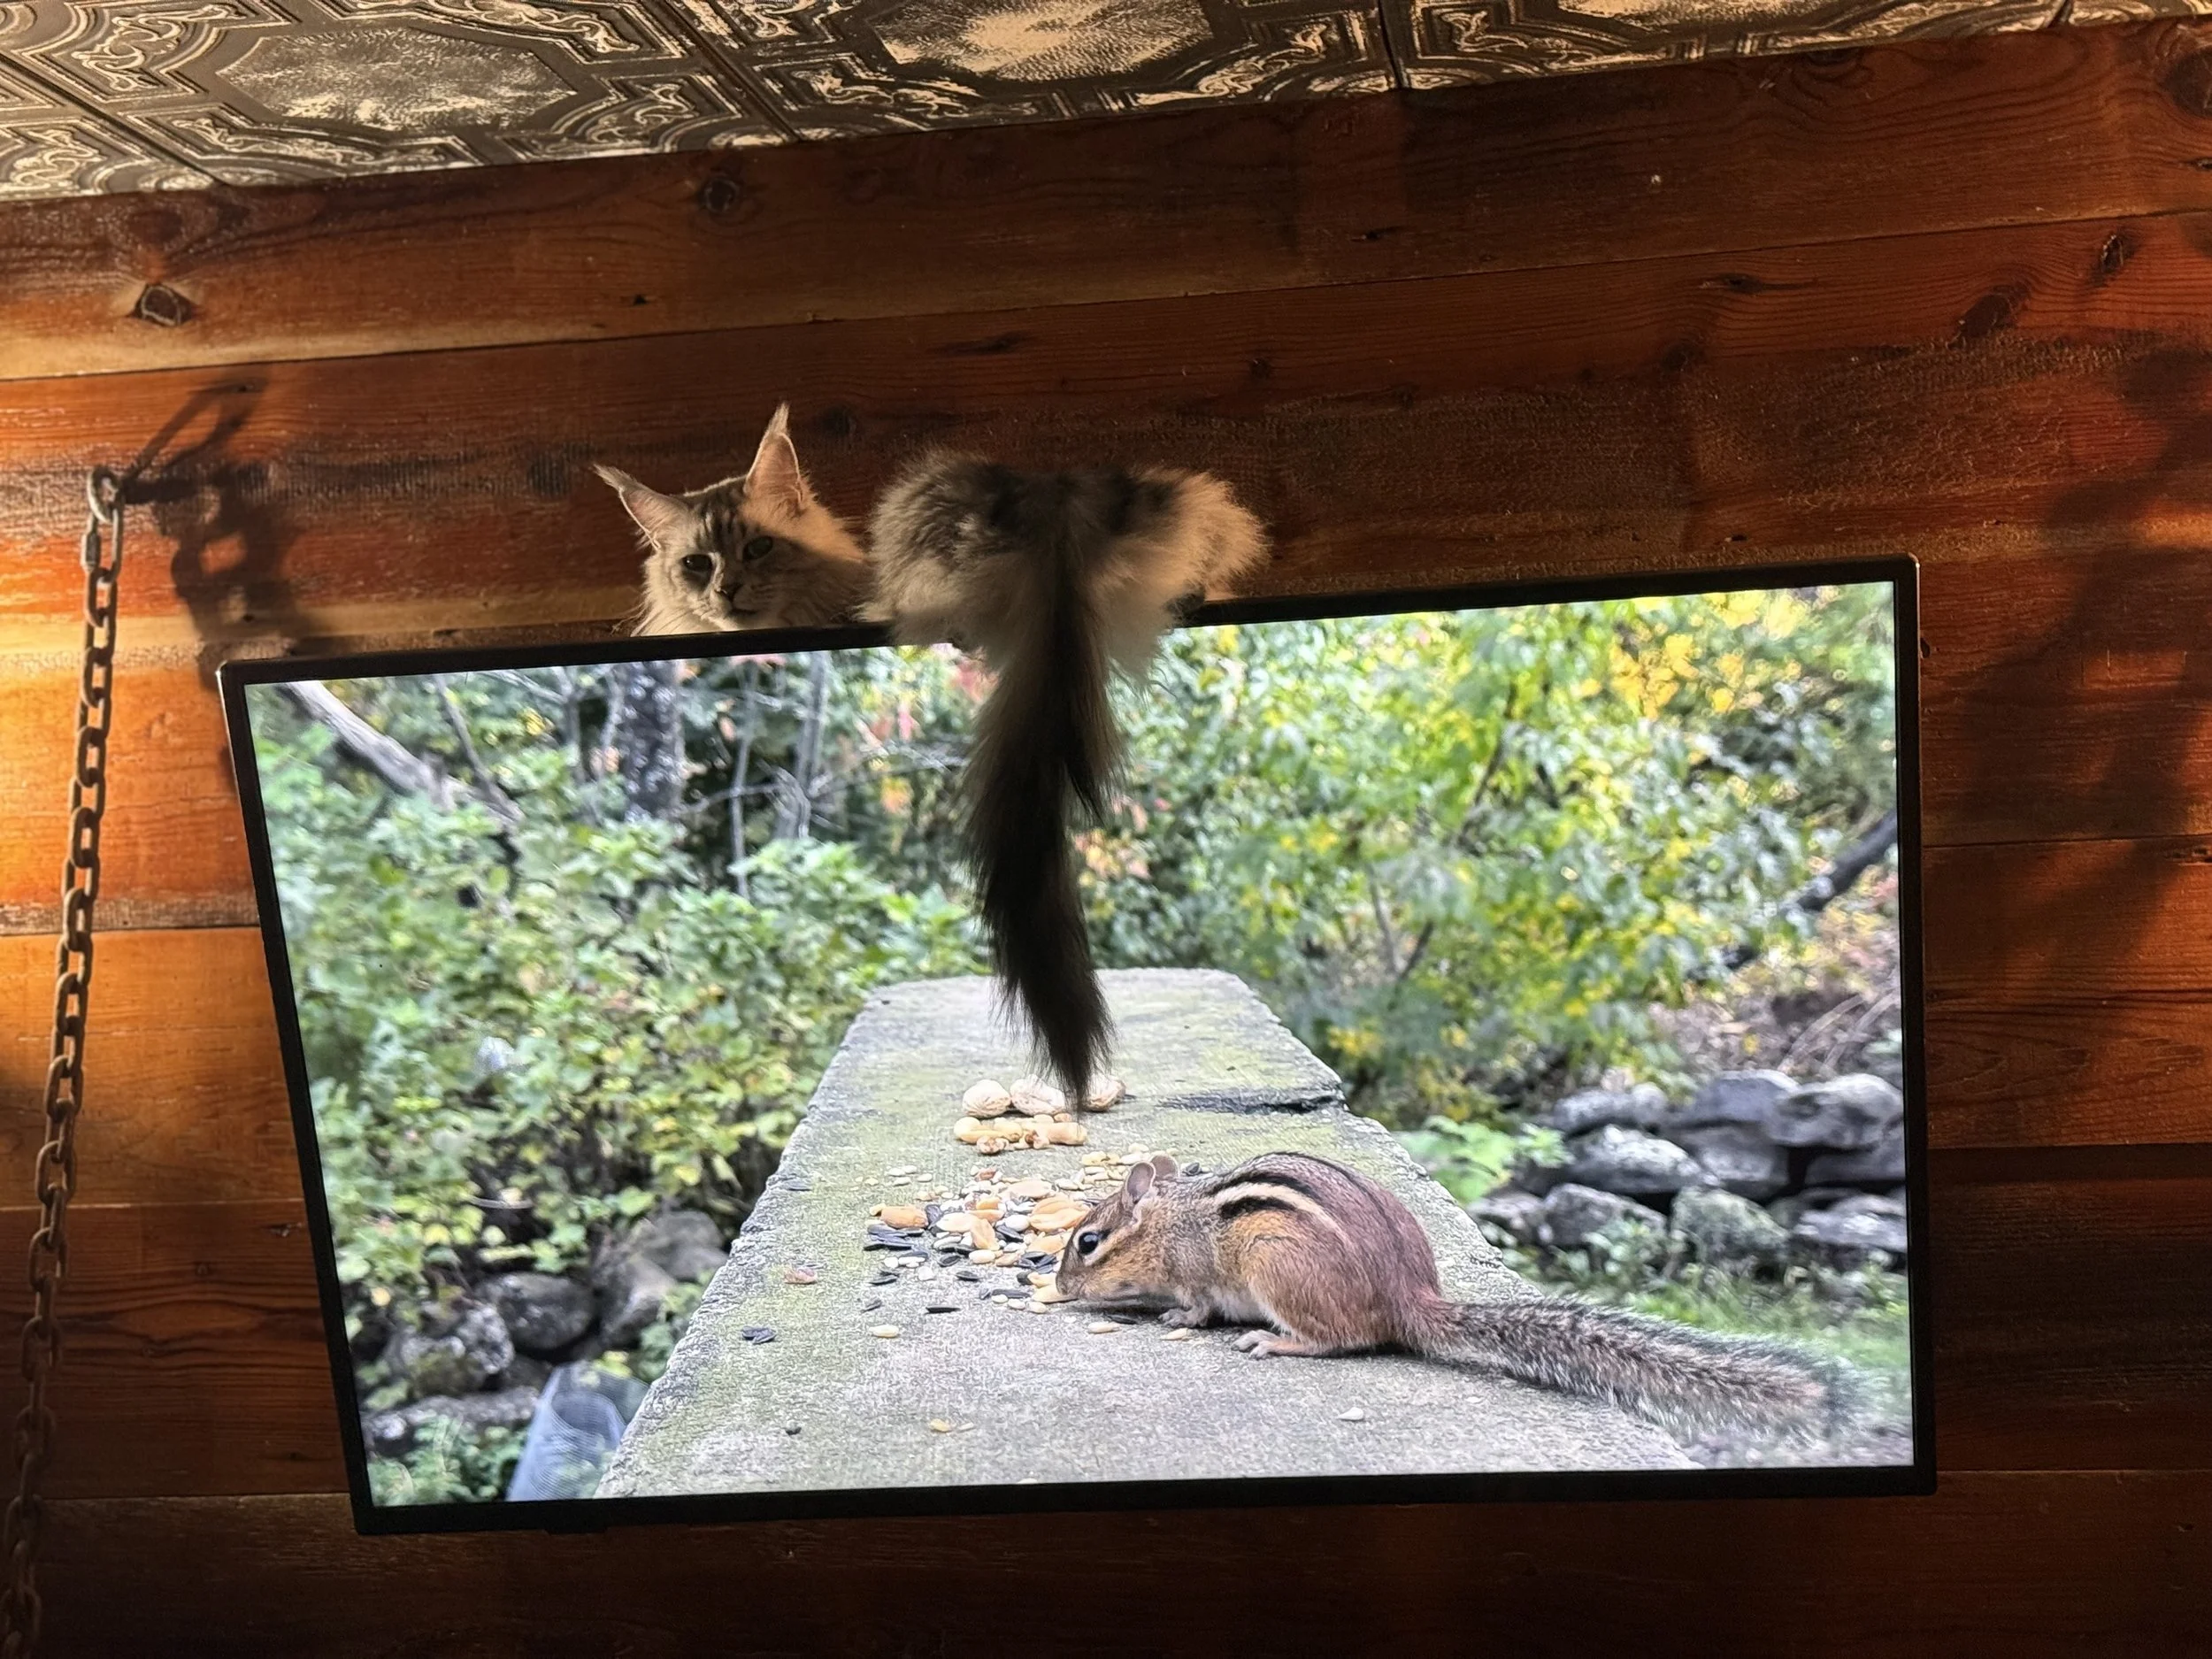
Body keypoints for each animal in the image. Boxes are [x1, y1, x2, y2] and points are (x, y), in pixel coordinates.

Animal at [1053, 1150, 1858, 1439]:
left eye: (1086, 1242)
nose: (1058, 1285)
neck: (1171, 1219)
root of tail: (1407, 1294)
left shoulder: (1199, 1269)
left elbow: (1193, 1303)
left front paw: (1171, 1313)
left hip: (1278, 1268)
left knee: (1339, 1339)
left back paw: (1274, 1339)